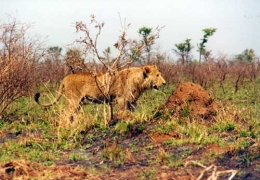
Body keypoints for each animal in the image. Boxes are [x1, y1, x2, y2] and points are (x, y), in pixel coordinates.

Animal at [34, 64, 166, 119]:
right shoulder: (121, 99)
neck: (139, 81)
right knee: (65, 113)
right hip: (73, 100)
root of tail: (65, 78)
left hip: (78, 103)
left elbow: (134, 112)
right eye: (157, 75)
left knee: (72, 114)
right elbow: (123, 112)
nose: (164, 83)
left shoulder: (132, 101)